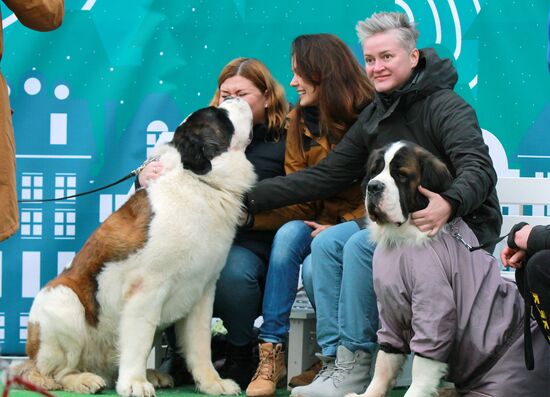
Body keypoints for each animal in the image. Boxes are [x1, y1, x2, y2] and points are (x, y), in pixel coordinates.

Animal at [10, 96, 256, 396]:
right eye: (221, 115)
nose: (235, 97)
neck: (198, 181)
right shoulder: (147, 288)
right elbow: (140, 337)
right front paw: (134, 383)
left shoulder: (203, 291)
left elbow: (200, 344)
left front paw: (212, 382)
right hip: (63, 301)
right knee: (57, 372)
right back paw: (83, 379)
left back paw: (151, 374)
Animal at [350, 142, 550, 396]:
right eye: (374, 171)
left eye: (401, 175)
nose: (374, 186)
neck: (404, 242)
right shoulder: (391, 308)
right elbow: (385, 363)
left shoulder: (434, 308)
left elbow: (422, 366)